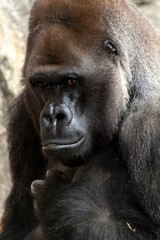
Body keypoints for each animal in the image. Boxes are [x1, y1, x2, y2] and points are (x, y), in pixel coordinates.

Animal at [0, 0, 160, 239]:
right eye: (42, 84)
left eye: (71, 81)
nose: (53, 116)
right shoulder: (23, 116)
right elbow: (16, 227)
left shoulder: (150, 124)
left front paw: (61, 202)